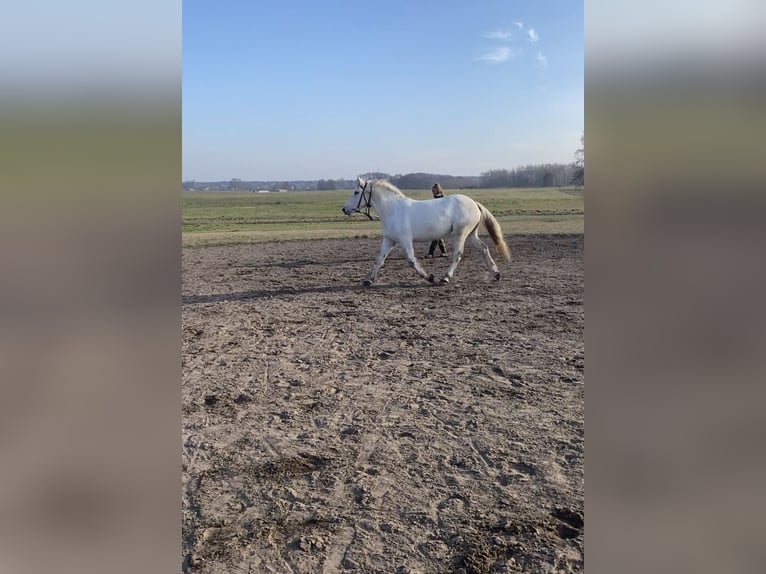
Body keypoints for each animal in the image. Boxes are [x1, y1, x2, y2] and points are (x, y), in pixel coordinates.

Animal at [340, 178, 510, 286]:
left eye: (356, 192)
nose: (344, 209)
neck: (393, 210)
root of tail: (473, 203)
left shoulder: (405, 240)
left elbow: (411, 261)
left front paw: (429, 277)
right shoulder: (389, 240)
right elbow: (379, 260)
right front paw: (368, 280)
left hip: (460, 234)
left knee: (458, 255)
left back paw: (445, 278)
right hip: (470, 235)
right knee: (484, 249)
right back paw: (496, 273)